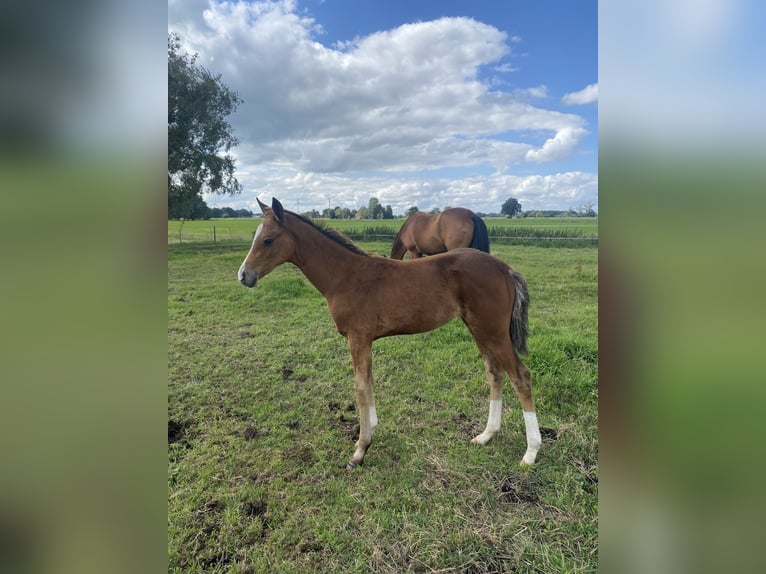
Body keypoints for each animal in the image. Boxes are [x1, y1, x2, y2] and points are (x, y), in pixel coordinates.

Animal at [237, 198, 544, 472]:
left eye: (268, 240)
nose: (243, 275)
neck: (345, 276)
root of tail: (505, 269)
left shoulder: (358, 338)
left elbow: (360, 386)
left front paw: (360, 450)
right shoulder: (365, 341)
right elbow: (369, 381)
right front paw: (371, 429)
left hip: (494, 331)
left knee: (520, 376)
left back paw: (530, 453)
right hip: (479, 329)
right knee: (495, 373)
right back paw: (486, 435)